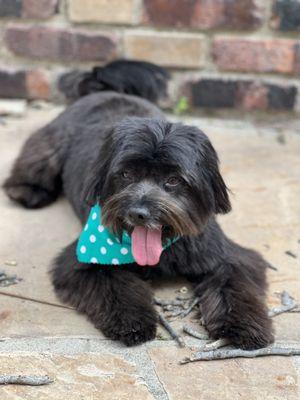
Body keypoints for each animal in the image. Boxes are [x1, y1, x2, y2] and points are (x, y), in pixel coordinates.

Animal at [3, 59, 274, 346]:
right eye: (125, 174)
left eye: (174, 180)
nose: (139, 213)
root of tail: (105, 90)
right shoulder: (84, 263)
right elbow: (115, 286)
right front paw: (133, 321)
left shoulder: (225, 257)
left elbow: (234, 286)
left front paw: (244, 325)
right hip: (51, 144)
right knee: (37, 159)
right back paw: (27, 190)